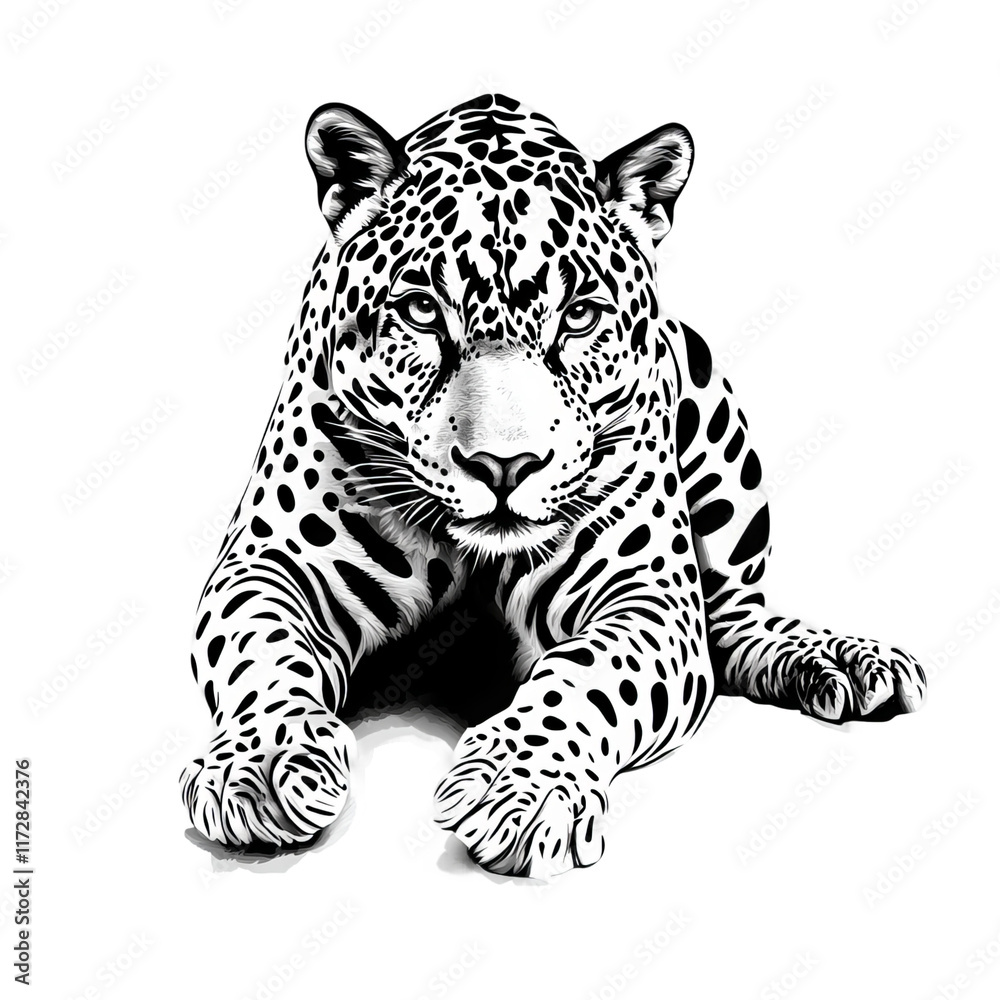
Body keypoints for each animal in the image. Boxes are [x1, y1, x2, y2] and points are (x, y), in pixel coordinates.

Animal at [180, 94, 926, 877]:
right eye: (421, 311)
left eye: (580, 316)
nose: (504, 466)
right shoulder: (269, 562)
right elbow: (264, 652)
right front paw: (260, 768)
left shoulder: (647, 596)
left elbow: (589, 676)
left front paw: (520, 789)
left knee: (733, 616)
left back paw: (839, 658)